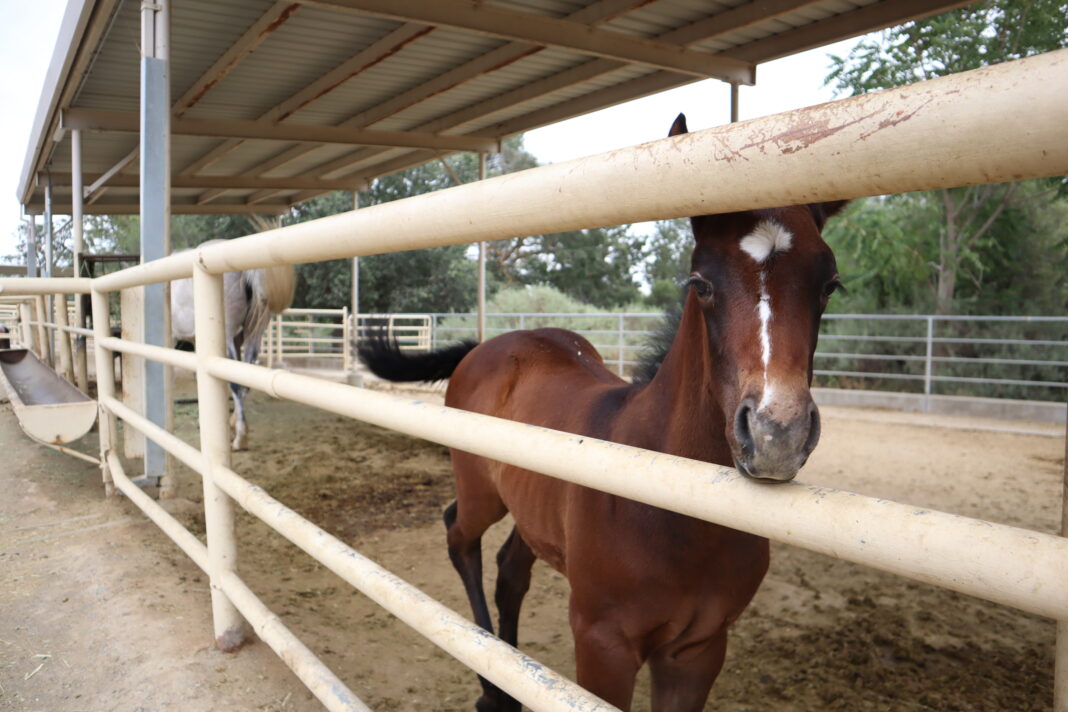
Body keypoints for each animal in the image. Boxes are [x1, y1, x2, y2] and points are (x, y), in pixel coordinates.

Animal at [359, 114, 846, 712]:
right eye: (701, 284)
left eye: (829, 285)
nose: (777, 434)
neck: (674, 502)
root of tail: (487, 346)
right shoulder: (603, 644)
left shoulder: (698, 650)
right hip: (480, 490)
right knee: (459, 535)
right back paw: (493, 687)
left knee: (510, 569)